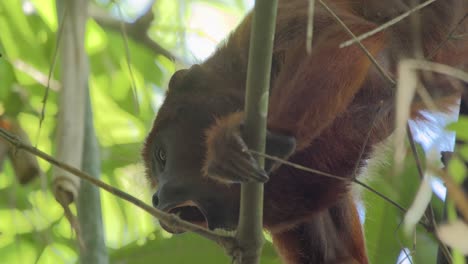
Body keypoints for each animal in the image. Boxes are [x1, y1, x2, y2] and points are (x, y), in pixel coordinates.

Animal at [142, 1, 468, 262]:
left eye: (161, 156)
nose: (156, 199)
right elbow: (334, 255)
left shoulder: (265, 30)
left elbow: (337, 36)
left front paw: (248, 139)